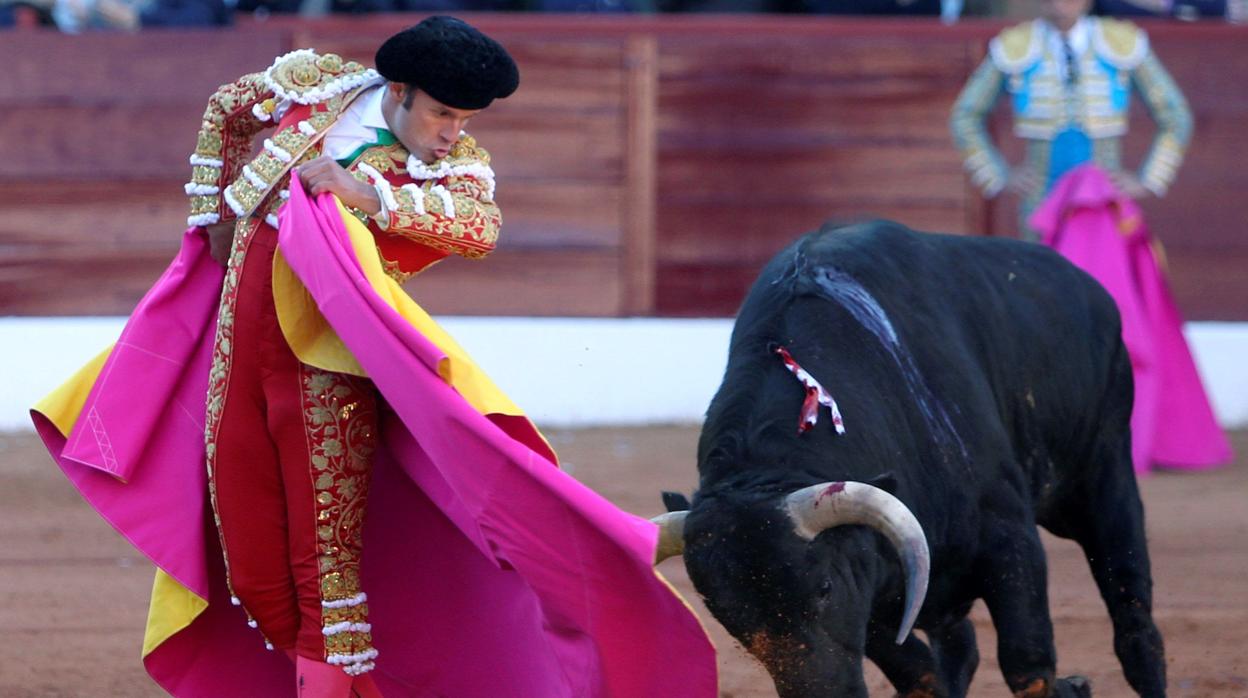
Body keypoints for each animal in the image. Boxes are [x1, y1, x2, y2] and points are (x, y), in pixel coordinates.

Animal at [653, 222, 1168, 698]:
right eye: (728, 618)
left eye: (824, 587)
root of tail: (1088, 287)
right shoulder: (882, 571)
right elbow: (920, 671)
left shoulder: (1009, 536)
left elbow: (1028, 667)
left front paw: (1069, 684)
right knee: (960, 648)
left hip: (1104, 478)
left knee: (1134, 622)